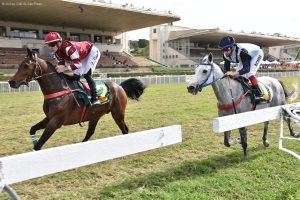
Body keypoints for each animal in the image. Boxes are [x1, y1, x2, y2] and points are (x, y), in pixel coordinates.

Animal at [9, 48, 145, 151]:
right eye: (20, 65)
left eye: (26, 65)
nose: (11, 82)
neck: (59, 89)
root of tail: (119, 86)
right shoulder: (49, 118)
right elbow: (32, 129)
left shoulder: (56, 121)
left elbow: (39, 144)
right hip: (95, 116)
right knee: (90, 132)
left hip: (118, 113)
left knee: (124, 130)